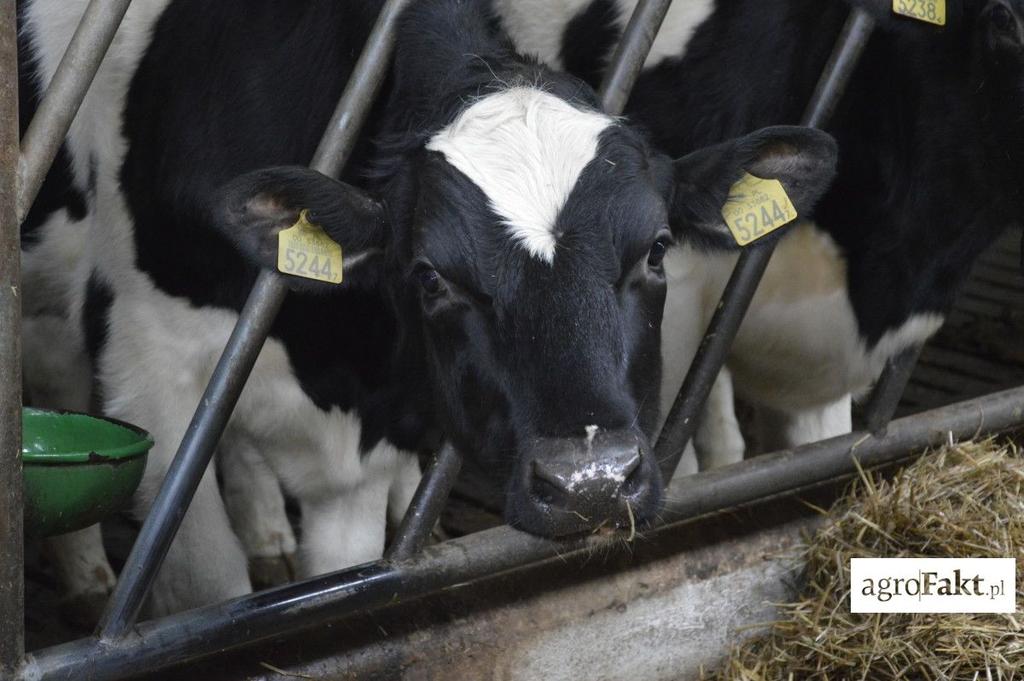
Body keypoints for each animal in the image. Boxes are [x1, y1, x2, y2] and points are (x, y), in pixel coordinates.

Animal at [22, 0, 839, 610]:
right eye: (430, 276)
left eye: (658, 249)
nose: (592, 483)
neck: (337, 358)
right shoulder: (145, 365)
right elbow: (207, 582)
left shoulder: (361, 449)